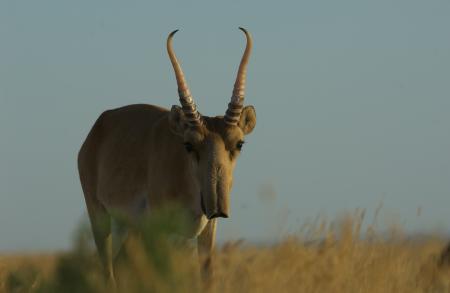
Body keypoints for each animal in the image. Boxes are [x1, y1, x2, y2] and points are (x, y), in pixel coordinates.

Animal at [77, 27, 256, 282]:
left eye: (239, 143)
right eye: (188, 145)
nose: (217, 207)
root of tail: (99, 126)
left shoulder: (207, 231)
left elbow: (207, 277)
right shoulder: (159, 230)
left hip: (129, 229)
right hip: (100, 218)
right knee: (107, 270)